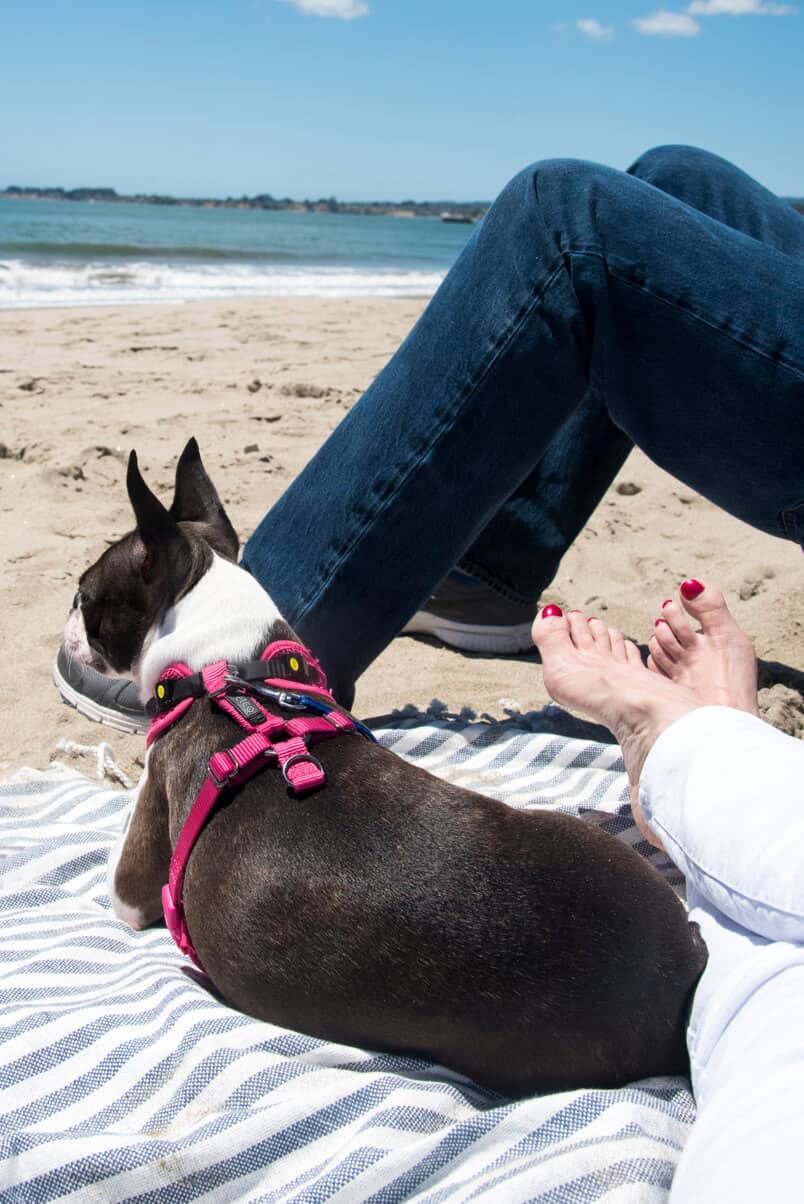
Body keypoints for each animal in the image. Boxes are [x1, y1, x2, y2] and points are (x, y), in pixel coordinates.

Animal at [62, 443, 707, 1102]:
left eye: (85, 597)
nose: (68, 625)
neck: (231, 668)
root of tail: (680, 978)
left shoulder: (138, 874)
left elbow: (121, 877)